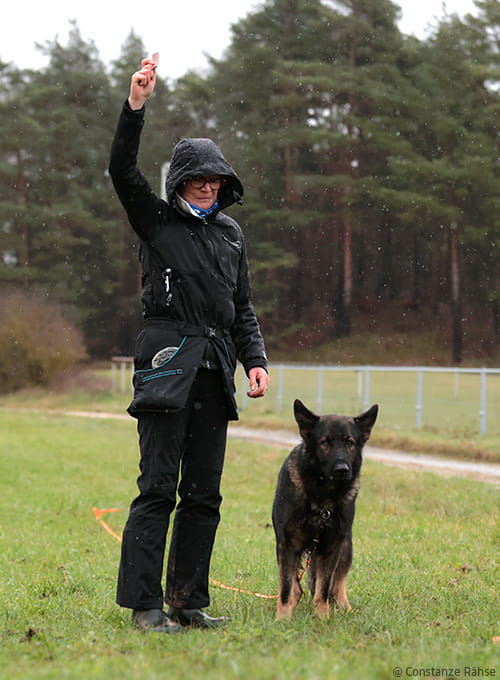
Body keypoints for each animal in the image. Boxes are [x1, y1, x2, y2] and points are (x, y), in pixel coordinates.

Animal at [272, 402, 376, 620]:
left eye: (350, 443)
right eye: (325, 443)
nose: (342, 469)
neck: (322, 498)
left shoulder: (331, 548)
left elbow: (324, 589)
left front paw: (322, 618)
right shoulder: (288, 545)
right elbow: (286, 588)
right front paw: (283, 619)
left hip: (345, 549)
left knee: (336, 586)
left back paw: (346, 610)